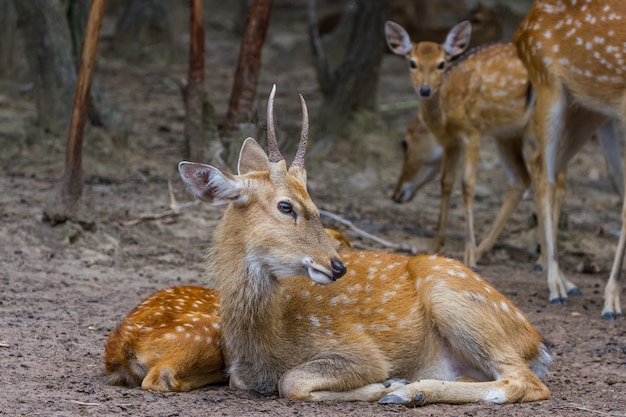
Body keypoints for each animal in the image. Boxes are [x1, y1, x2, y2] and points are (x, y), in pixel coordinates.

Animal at [174, 84, 552, 404]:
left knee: (524, 381)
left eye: (315, 203)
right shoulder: (238, 372)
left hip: (453, 299)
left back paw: (406, 392)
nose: (337, 265)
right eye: (286, 206)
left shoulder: (360, 349)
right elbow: (250, 381)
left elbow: (292, 381)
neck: (266, 344)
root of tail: (536, 342)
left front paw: (388, 383)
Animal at [512, 0, 624, 318]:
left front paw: (612, 298)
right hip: (549, 85)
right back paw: (556, 285)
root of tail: (520, 29)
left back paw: (566, 280)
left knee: (546, 164)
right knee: (545, 171)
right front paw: (611, 303)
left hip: (590, 110)